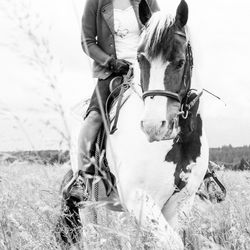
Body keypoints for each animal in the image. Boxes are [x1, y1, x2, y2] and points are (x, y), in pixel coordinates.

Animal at [57, 0, 209, 249]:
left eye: (180, 62)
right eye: (140, 59)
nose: (154, 125)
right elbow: (171, 242)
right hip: (88, 202)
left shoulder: (181, 202)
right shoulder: (139, 198)